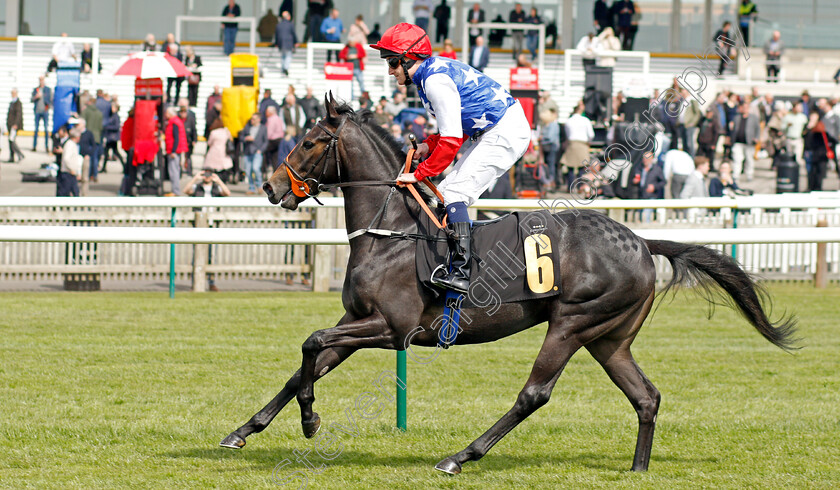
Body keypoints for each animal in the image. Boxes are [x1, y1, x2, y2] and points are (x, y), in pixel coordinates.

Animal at [220, 95, 796, 474]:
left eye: (312, 141)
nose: (269, 186)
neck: (393, 232)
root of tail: (640, 240)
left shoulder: (390, 328)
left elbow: (310, 344)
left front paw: (310, 421)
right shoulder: (357, 320)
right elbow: (305, 365)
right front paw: (244, 431)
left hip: (572, 323)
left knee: (534, 394)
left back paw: (460, 456)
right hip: (610, 338)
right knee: (646, 396)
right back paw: (637, 470)